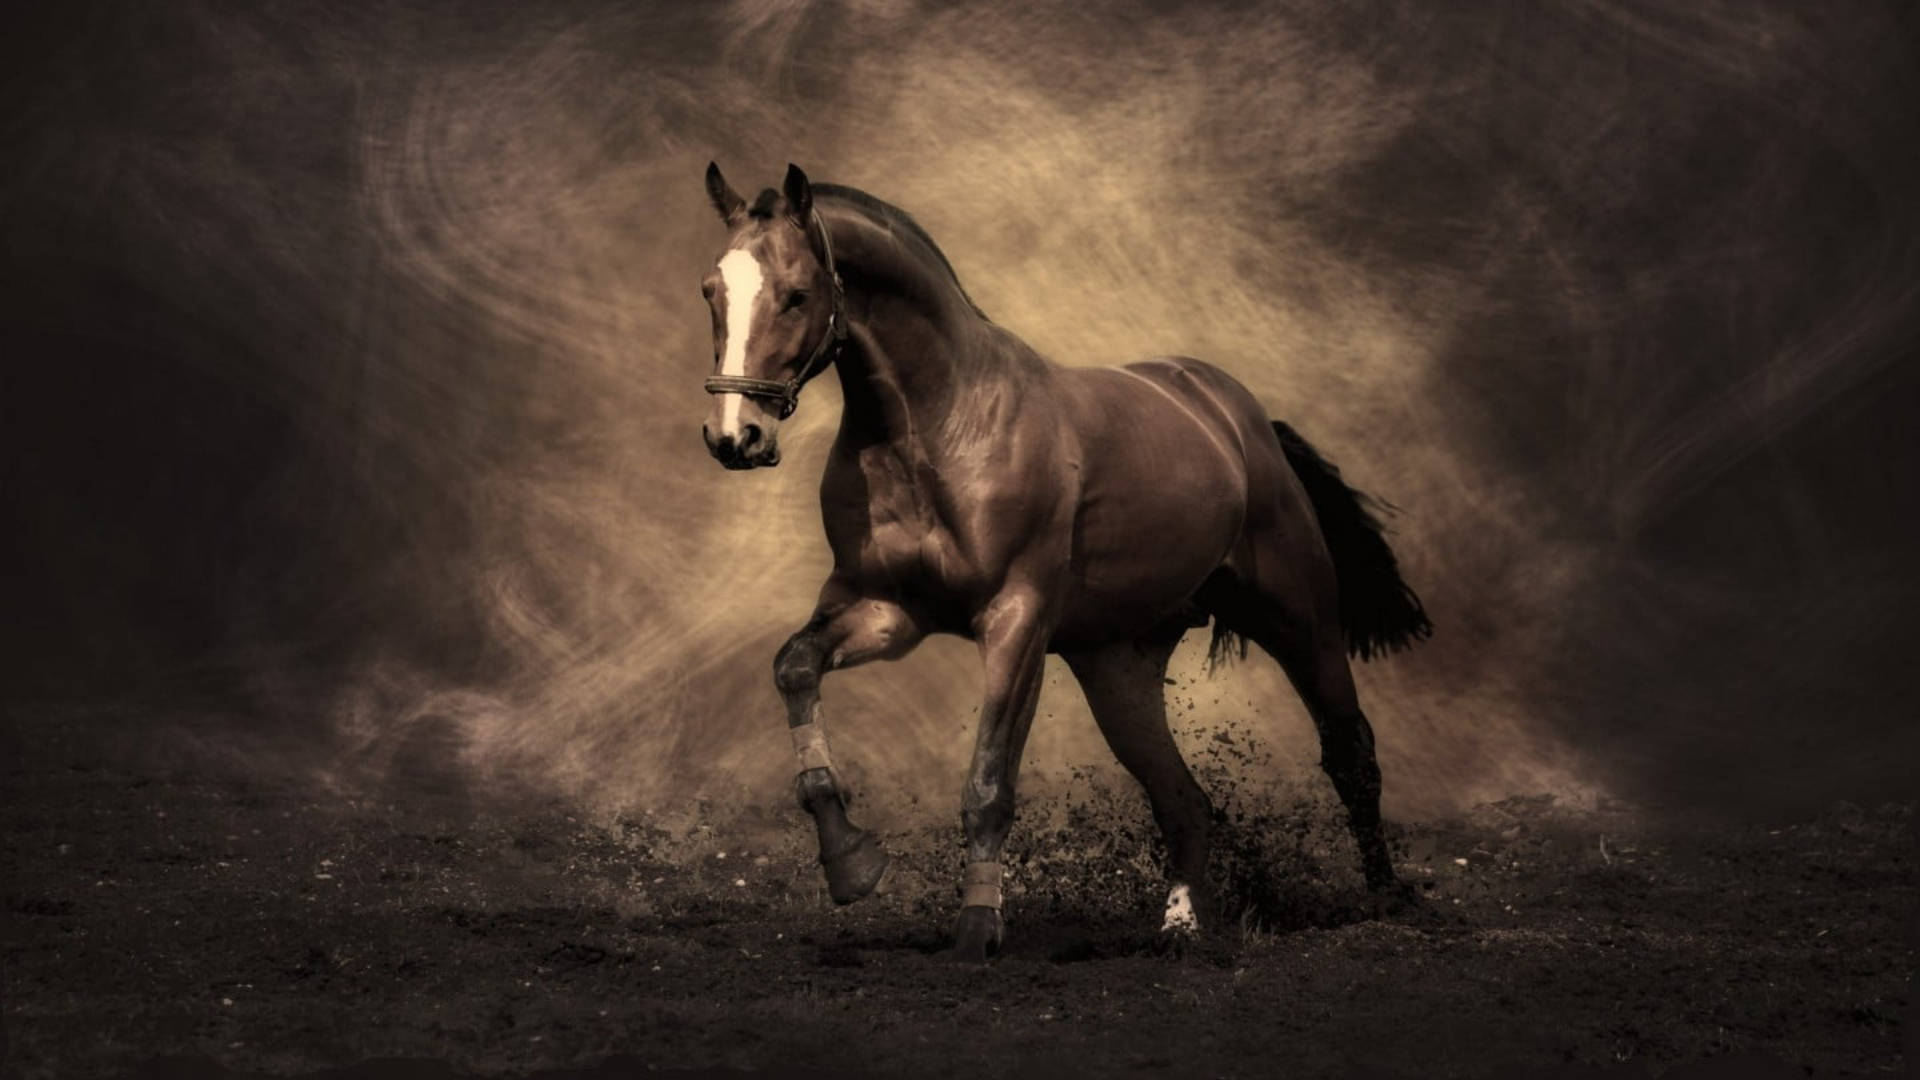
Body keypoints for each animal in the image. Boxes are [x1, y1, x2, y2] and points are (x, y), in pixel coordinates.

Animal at [698, 161, 1436, 957]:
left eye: (798, 294)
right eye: (711, 291)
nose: (734, 436)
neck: (938, 429)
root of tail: (1240, 420)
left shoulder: (1016, 621)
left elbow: (989, 783)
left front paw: (977, 929)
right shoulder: (886, 610)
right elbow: (794, 668)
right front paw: (851, 865)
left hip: (1298, 619)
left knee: (1350, 753)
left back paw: (1386, 898)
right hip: (1117, 668)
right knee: (1182, 798)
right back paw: (1180, 926)